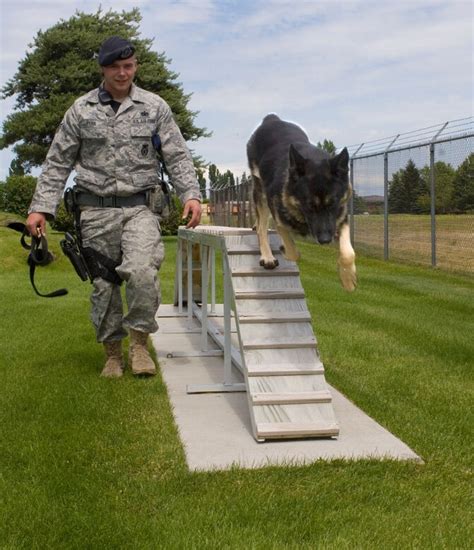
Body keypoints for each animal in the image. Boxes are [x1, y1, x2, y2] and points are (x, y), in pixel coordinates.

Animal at [248, 115, 356, 294]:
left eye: (333, 203)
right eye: (309, 205)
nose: (325, 240)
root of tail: (272, 119)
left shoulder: (341, 218)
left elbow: (348, 253)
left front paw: (348, 279)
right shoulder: (279, 218)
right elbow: (293, 251)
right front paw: (284, 250)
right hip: (260, 191)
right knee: (262, 227)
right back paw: (267, 256)